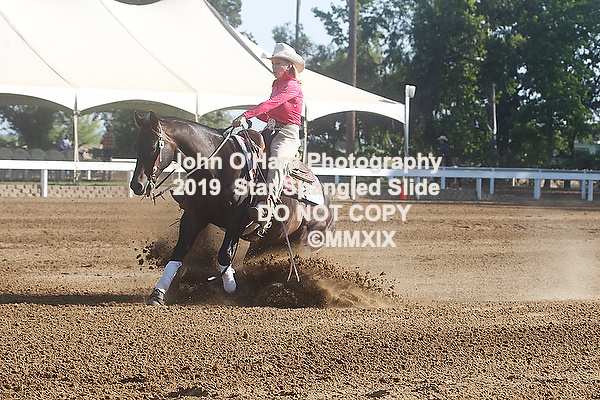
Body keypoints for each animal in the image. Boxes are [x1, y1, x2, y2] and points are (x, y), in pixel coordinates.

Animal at [130, 111, 335, 305]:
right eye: (136, 146)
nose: (137, 185)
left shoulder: (238, 218)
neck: (217, 166)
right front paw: (158, 294)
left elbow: (224, 255)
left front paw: (234, 289)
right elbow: (178, 253)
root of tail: (328, 205)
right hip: (264, 244)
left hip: (305, 243)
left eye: (153, 147)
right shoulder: (193, 216)